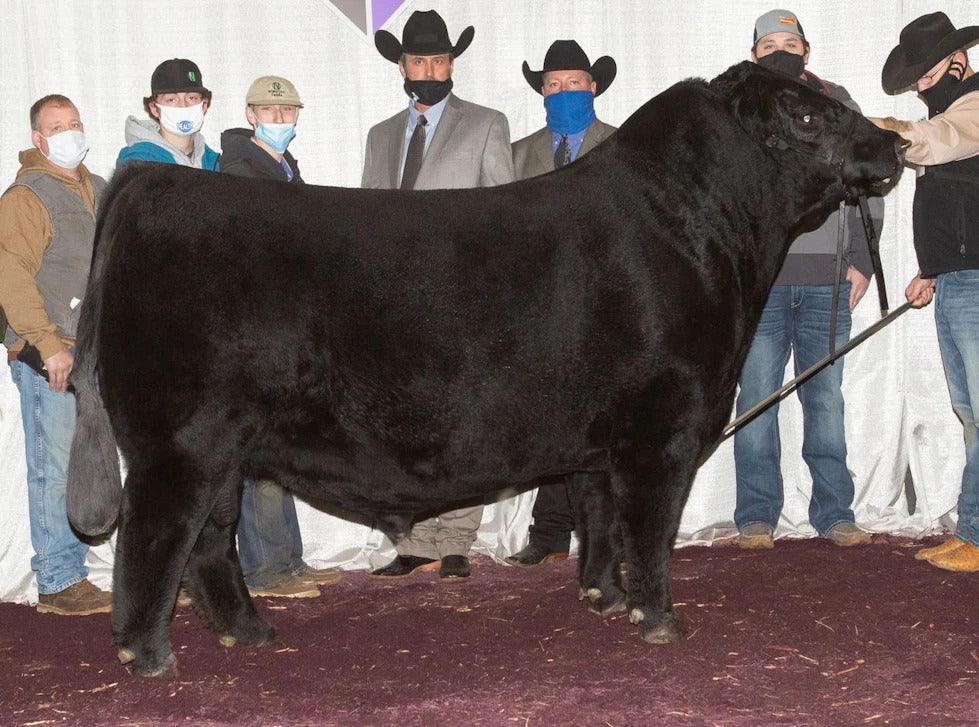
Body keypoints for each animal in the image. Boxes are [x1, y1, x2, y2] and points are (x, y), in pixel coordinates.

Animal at [66, 62, 903, 677]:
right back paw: (148, 655)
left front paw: (600, 596)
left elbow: (599, 515)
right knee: (155, 535)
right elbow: (648, 528)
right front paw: (658, 618)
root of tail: (154, 181)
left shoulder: (600, 438)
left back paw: (248, 631)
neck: (697, 229)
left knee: (209, 540)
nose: (891, 146)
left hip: (222, 448)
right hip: (180, 440)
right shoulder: (663, 427)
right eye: (806, 116)